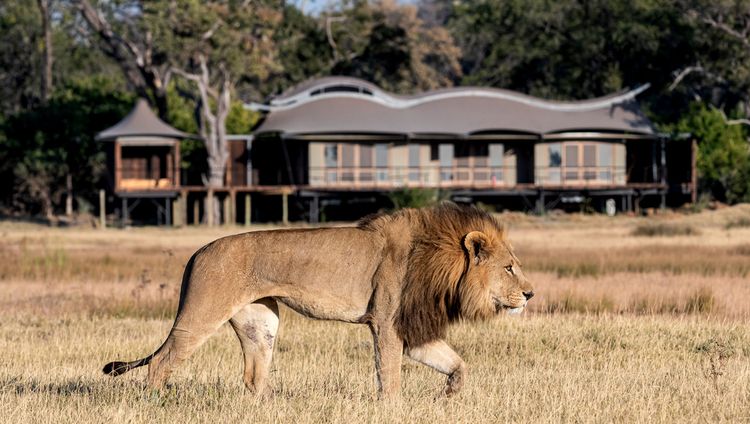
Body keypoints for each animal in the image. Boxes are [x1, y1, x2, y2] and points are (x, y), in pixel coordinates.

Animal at [103, 203, 534, 397]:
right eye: (510, 268)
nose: (530, 294)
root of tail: (198, 250)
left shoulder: (412, 330)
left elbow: (457, 364)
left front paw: (449, 396)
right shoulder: (387, 324)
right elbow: (390, 376)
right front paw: (393, 407)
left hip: (262, 322)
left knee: (253, 375)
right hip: (202, 313)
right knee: (162, 361)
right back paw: (158, 402)